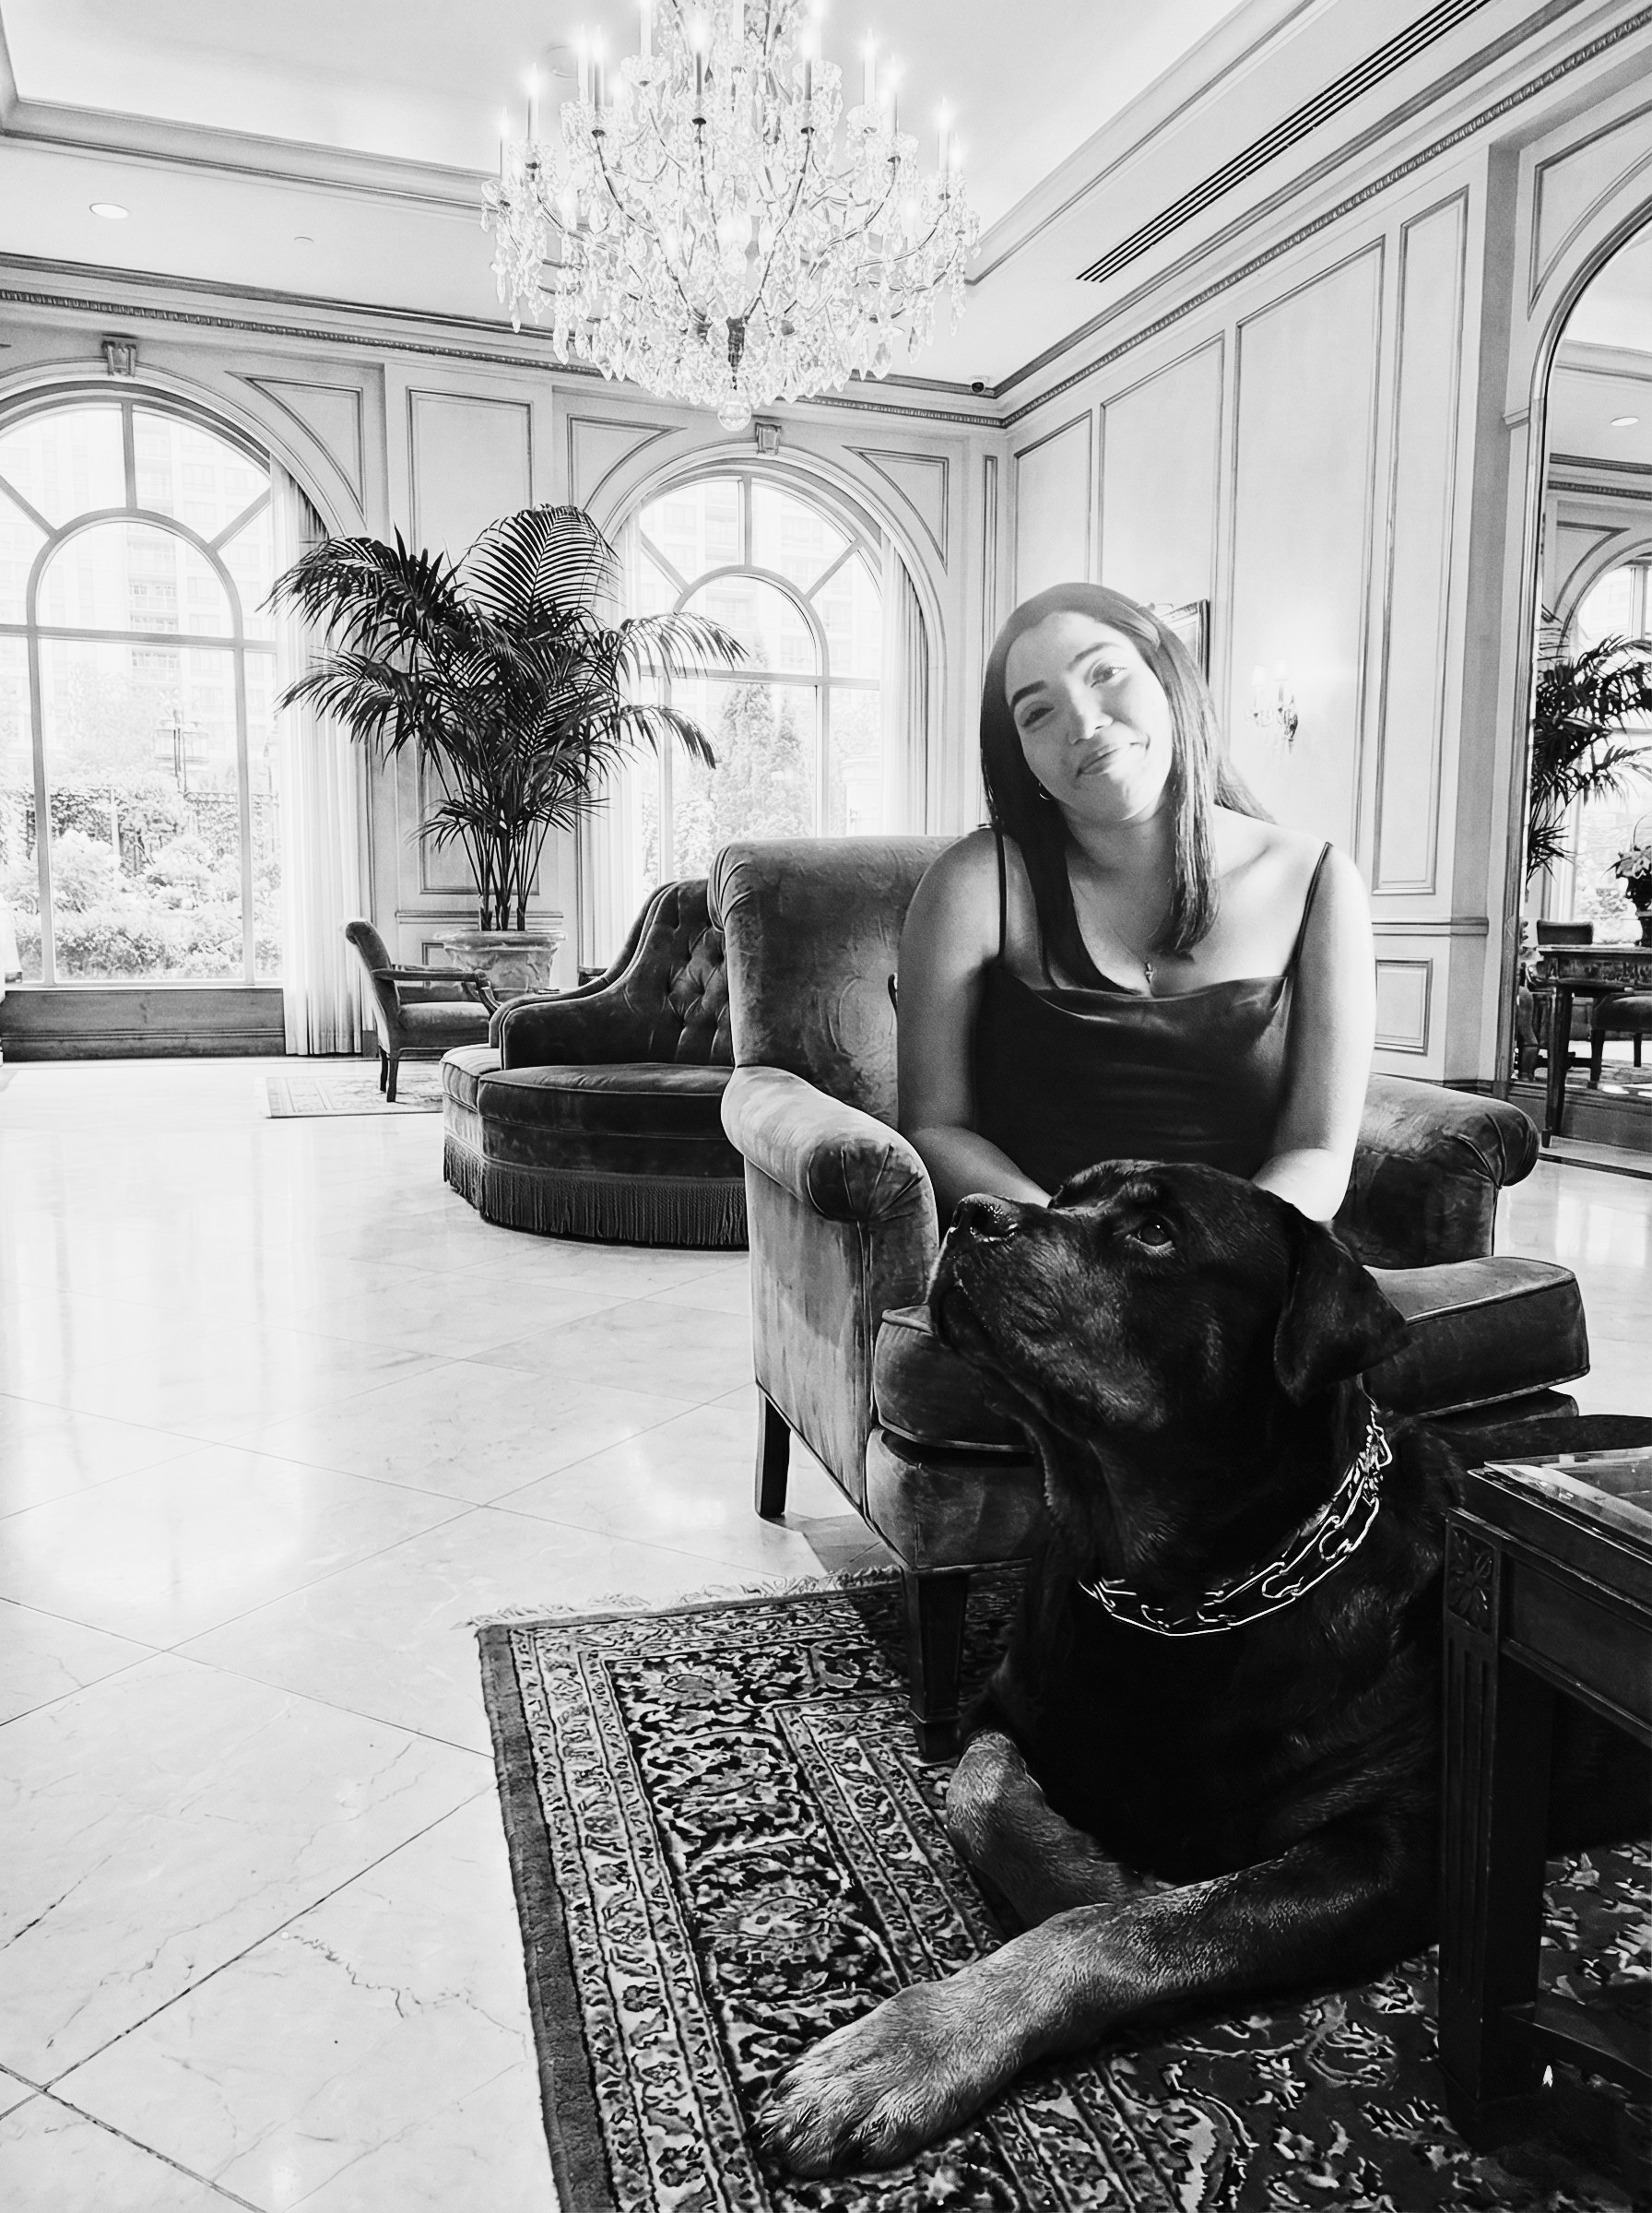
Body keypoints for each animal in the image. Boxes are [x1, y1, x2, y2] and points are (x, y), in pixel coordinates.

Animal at [756, 1160, 1645, 2178]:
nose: (973, 1214)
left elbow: (1123, 1929)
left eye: (1154, 1231)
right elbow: (976, 1794)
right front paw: (1092, 1874)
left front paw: (908, 2046)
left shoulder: (1394, 1849)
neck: (1178, 1594)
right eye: (1060, 1198)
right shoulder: (1007, 1706)